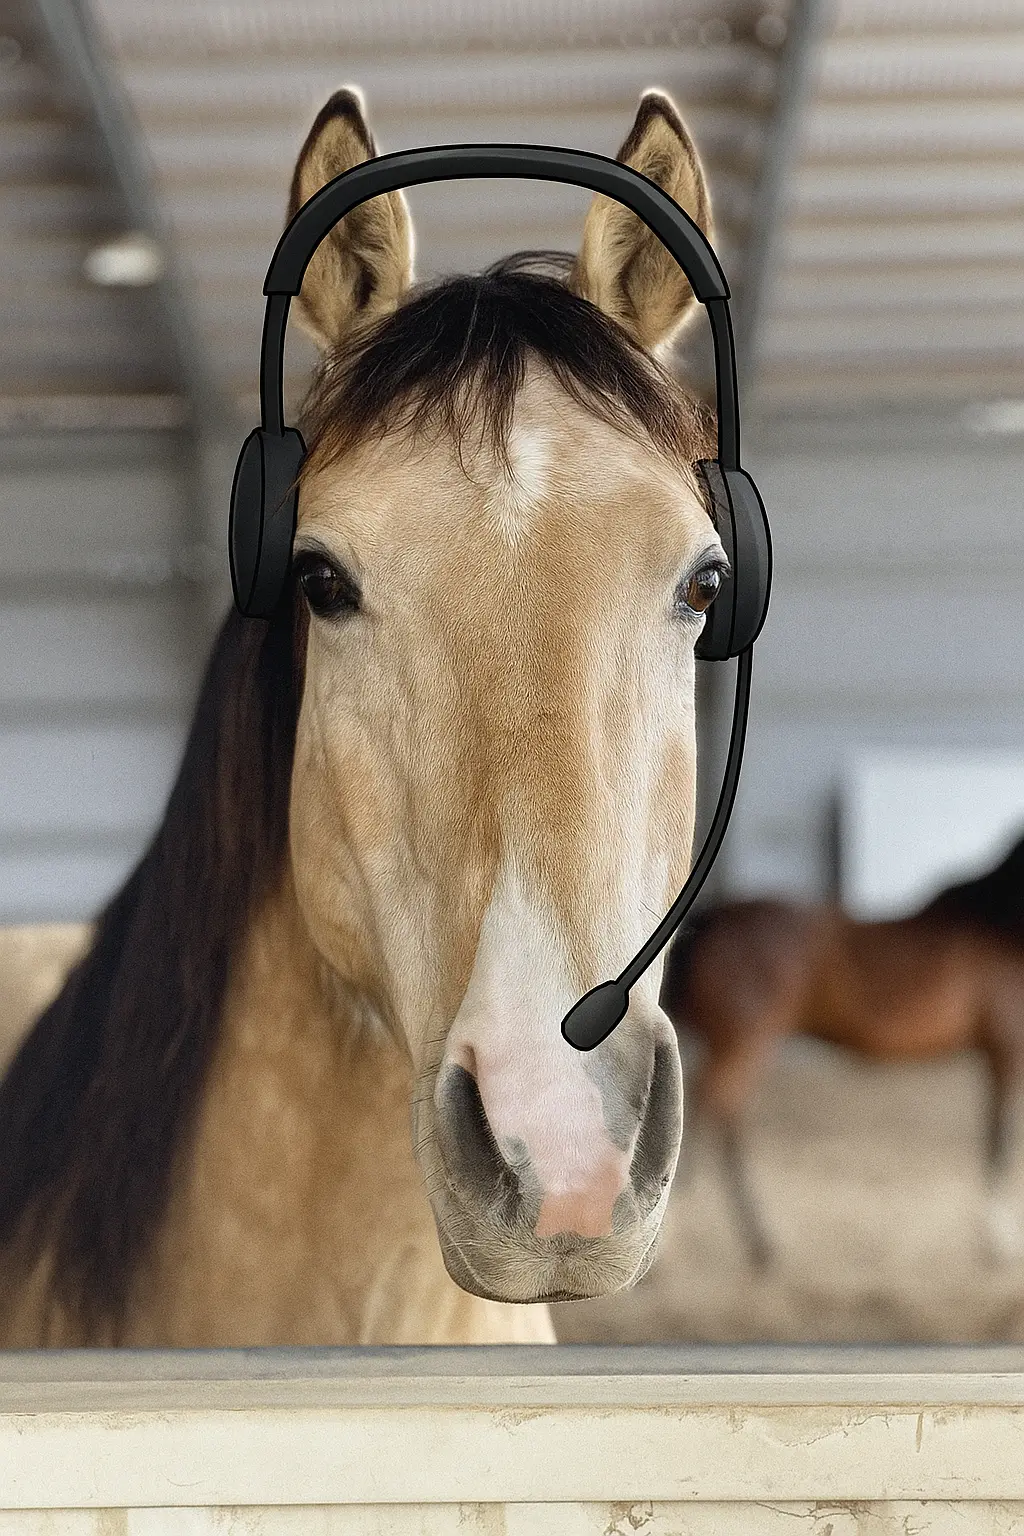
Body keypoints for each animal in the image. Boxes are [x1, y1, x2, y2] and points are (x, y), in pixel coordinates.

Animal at [660, 833, 1024, 1269]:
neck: (1001, 922)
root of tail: (714, 921)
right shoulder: (1007, 1052)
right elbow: (1001, 1140)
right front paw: (998, 1241)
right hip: (744, 1044)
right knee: (716, 1114)